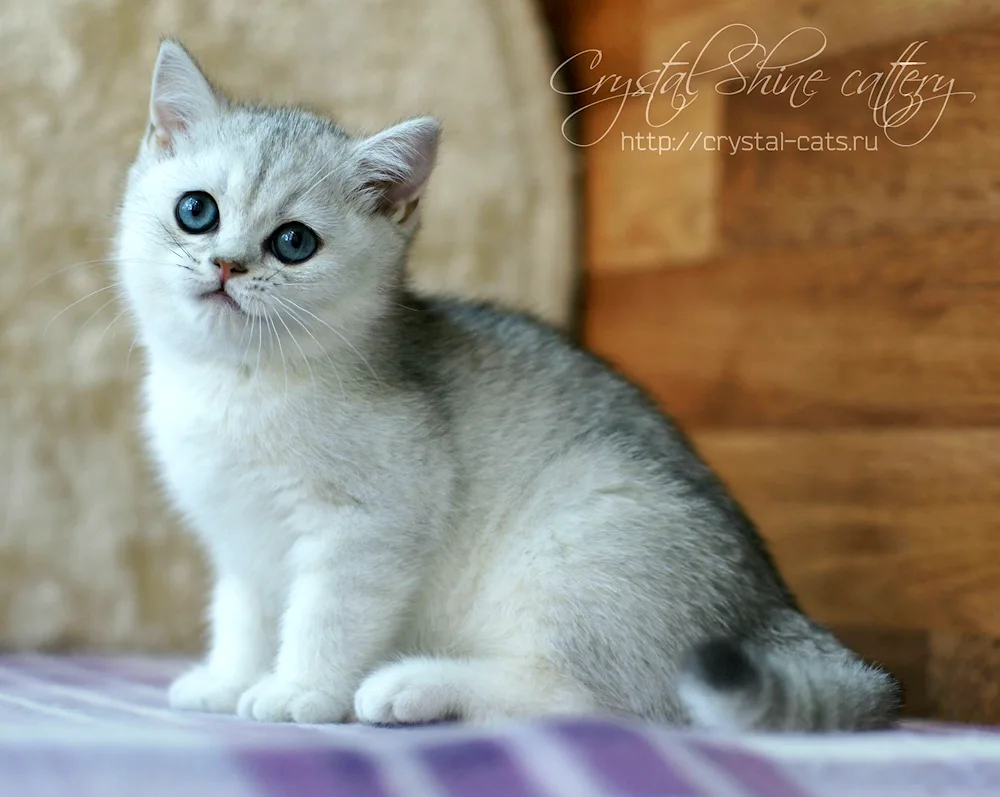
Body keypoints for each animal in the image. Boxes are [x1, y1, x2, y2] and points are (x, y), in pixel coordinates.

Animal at [113, 40, 904, 732]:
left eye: (294, 242)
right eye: (196, 210)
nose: (227, 264)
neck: (233, 384)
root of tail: (776, 611)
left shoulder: (370, 526)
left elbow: (324, 618)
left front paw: (299, 690)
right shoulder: (240, 540)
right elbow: (243, 616)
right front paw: (229, 678)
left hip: (587, 533)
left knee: (594, 701)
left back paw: (415, 686)